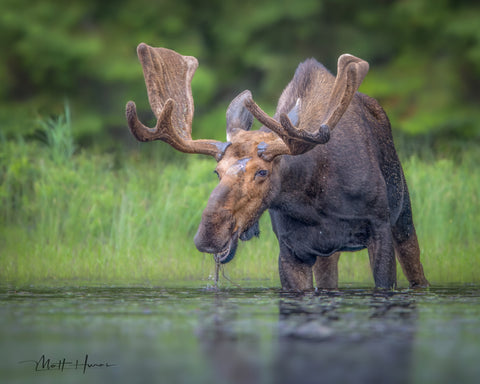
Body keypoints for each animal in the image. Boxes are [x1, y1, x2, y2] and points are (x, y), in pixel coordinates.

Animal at [125, 42, 430, 292]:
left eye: (262, 172)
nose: (209, 235)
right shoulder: (292, 249)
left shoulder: (379, 228)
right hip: (329, 254)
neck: (315, 202)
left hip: (403, 215)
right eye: (217, 172)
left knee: (418, 275)